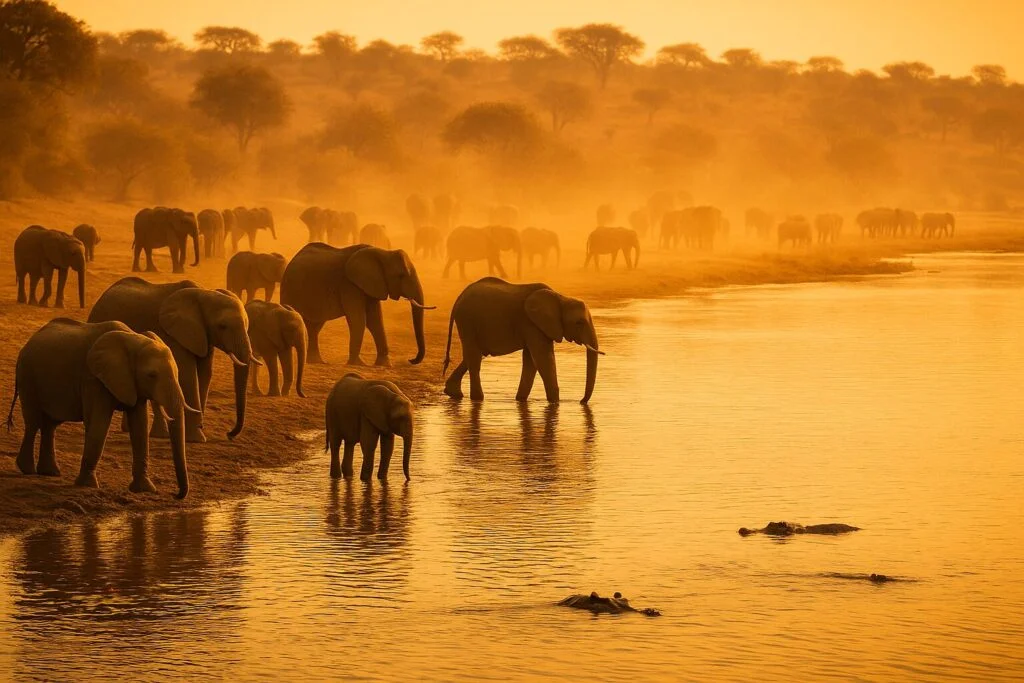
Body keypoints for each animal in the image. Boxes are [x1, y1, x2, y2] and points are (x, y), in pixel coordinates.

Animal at [8, 318, 193, 498]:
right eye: (151, 375)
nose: (174, 494)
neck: (133, 339)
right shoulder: (93, 378)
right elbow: (99, 424)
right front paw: (87, 486)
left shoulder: (132, 383)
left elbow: (140, 427)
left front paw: (144, 490)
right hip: (27, 375)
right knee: (33, 423)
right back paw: (27, 470)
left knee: (50, 425)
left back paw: (50, 473)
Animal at [89, 277, 256, 443]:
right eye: (222, 326)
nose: (229, 434)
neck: (204, 293)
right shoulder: (173, 333)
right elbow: (188, 375)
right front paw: (196, 438)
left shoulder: (203, 335)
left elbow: (205, 374)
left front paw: (199, 432)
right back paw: (158, 434)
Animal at [280, 243, 430, 366]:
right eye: (401, 276)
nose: (411, 360)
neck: (382, 253)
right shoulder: (349, 284)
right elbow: (358, 319)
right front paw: (357, 364)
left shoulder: (371, 286)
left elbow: (375, 320)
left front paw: (384, 365)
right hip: (290, 290)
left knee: (314, 326)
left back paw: (316, 361)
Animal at [442, 277, 601, 403]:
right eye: (579, 323)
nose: (581, 401)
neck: (560, 298)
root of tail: (459, 297)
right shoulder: (532, 323)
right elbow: (543, 359)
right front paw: (555, 402)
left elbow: (531, 360)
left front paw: (521, 400)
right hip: (467, 321)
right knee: (474, 358)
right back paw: (477, 399)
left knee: (473, 355)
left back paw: (454, 393)